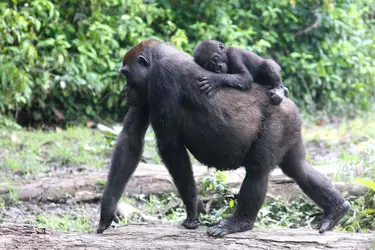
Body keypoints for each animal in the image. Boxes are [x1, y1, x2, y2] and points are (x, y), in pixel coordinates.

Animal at [96, 38, 350, 236]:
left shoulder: (161, 79)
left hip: (281, 119)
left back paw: (239, 223)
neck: (160, 56)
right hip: (292, 126)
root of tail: (287, 101)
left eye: (127, 75)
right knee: (298, 168)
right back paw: (336, 209)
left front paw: (192, 208)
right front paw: (107, 210)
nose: (126, 91)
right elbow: (130, 140)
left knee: (258, 170)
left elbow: (170, 147)